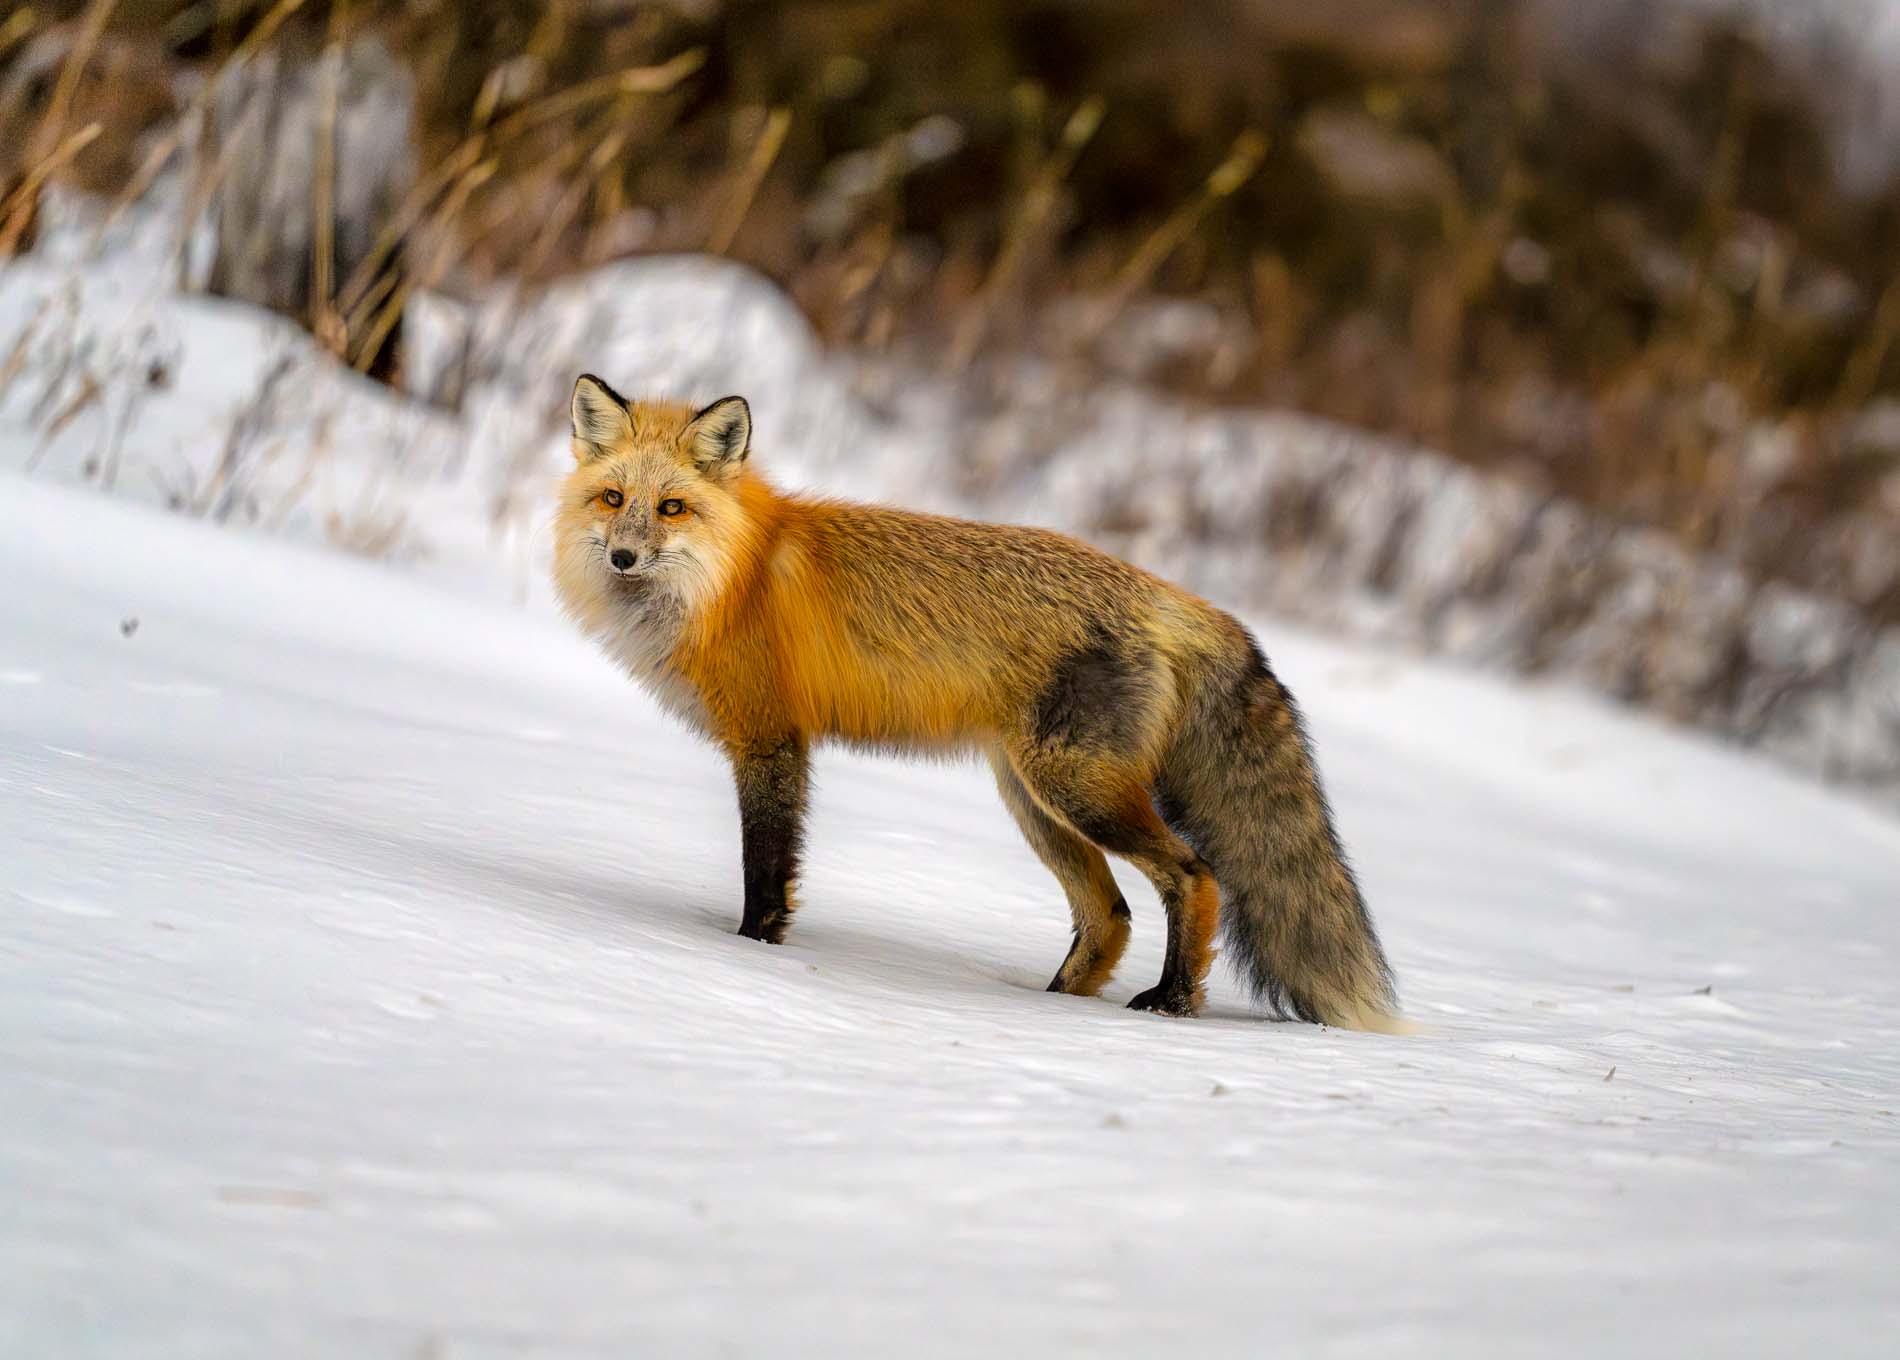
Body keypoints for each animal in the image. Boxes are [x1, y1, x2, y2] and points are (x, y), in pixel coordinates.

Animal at [554, 374, 1413, 1033]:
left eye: (673, 508)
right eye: (613, 499)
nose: (623, 557)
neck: (730, 578)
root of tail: (1178, 598)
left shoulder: (771, 741)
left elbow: (765, 871)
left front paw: (749, 954)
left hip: (1076, 789)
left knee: (1193, 875)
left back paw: (1171, 1002)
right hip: (1035, 800)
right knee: (1110, 915)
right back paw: (1055, 1005)